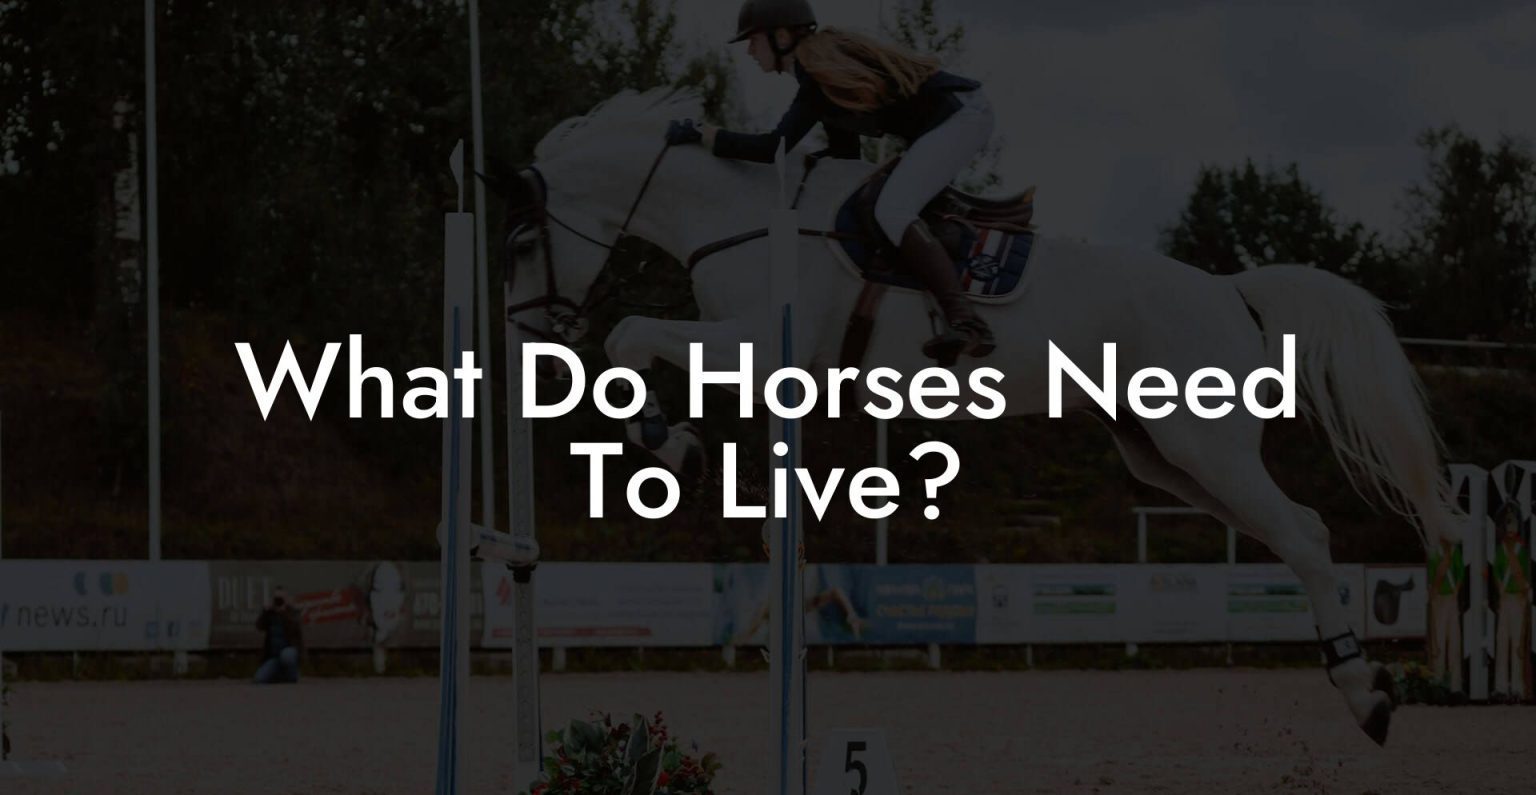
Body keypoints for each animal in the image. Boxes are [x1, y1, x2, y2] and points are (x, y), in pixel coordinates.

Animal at [491, 88, 1462, 745]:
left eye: (525, 240)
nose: (528, 330)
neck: (739, 217)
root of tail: (1230, 291)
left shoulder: (760, 347)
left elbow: (628, 332)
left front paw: (669, 439)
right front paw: (681, 448)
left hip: (1206, 447)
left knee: (1302, 534)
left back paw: (1367, 693)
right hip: (1164, 456)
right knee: (1295, 532)